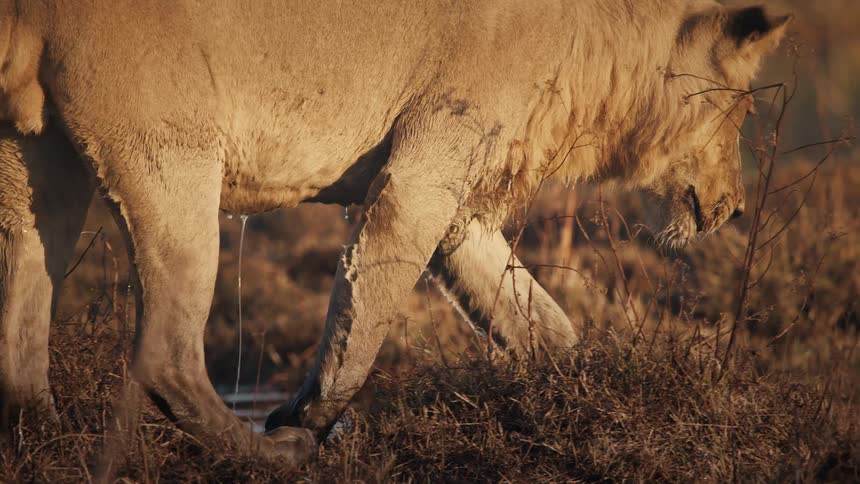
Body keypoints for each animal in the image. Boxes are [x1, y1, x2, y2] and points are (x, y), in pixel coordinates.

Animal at [0, 0, 790, 464]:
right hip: (171, 152)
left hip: (36, 163)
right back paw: (270, 457)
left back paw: (44, 438)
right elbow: (367, 310)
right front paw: (309, 417)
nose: (735, 209)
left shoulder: (462, 195)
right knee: (166, 352)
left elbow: (537, 319)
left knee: (22, 323)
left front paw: (585, 395)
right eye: (741, 111)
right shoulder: (421, 172)